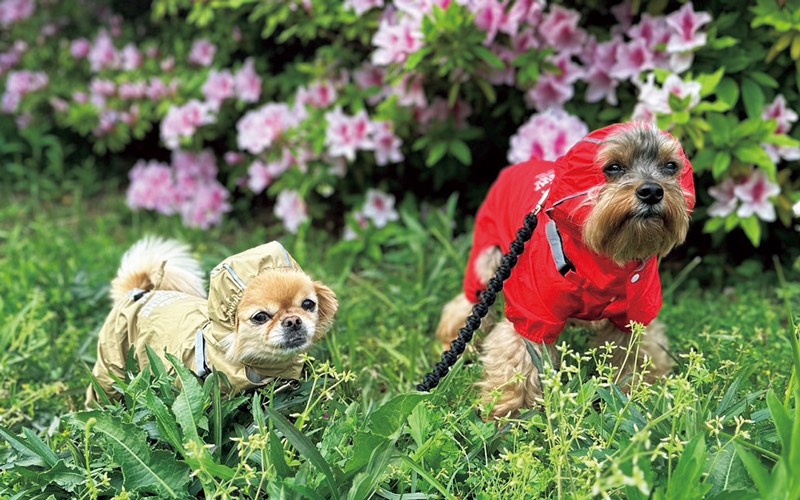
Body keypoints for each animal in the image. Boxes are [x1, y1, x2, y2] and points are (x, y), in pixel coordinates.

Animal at [438, 123, 692, 420]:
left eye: (670, 166)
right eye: (613, 167)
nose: (652, 191)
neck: (603, 259)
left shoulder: (636, 310)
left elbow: (636, 350)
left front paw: (637, 396)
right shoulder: (532, 311)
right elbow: (519, 354)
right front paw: (511, 412)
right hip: (489, 260)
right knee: (468, 306)